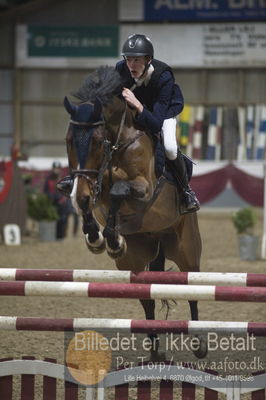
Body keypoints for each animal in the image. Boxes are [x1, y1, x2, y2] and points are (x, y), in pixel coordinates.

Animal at [62, 66, 206, 360]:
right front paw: (97, 237)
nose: (81, 193)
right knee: (146, 298)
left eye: (97, 141)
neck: (119, 143)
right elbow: (95, 200)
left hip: (186, 250)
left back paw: (198, 344)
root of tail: (159, 235)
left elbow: (119, 190)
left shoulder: (145, 188)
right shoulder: (93, 186)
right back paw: (154, 349)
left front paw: (110, 237)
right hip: (135, 260)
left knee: (192, 289)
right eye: (69, 141)